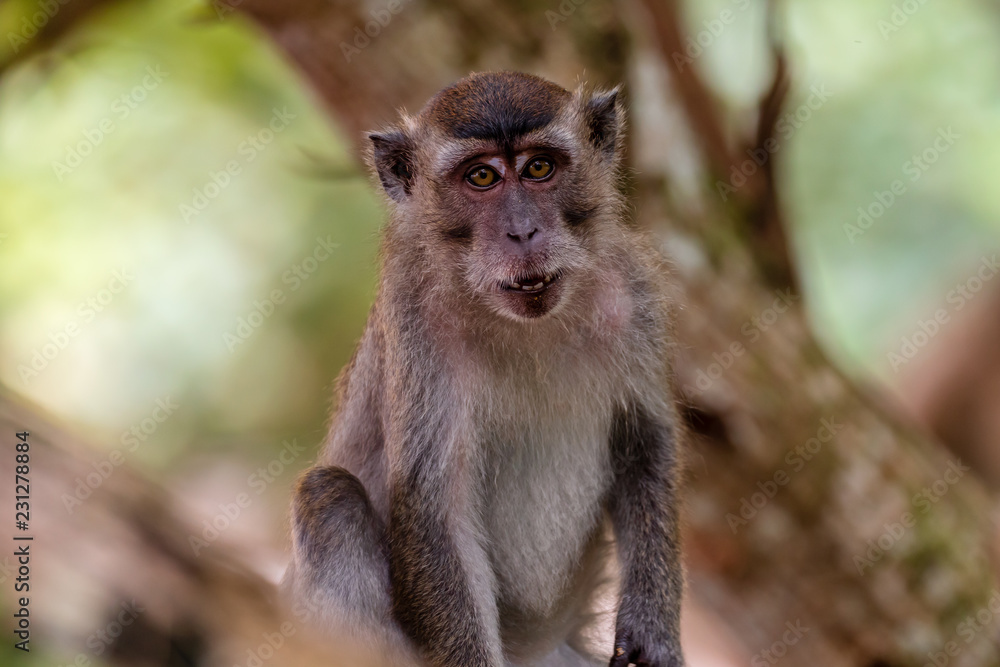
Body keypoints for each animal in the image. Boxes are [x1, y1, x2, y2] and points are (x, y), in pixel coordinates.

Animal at [286, 70, 684, 664]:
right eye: (481, 177)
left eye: (539, 168)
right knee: (329, 498)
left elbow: (645, 441)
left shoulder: (631, 293)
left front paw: (652, 626)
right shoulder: (415, 320)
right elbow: (436, 510)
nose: (522, 232)